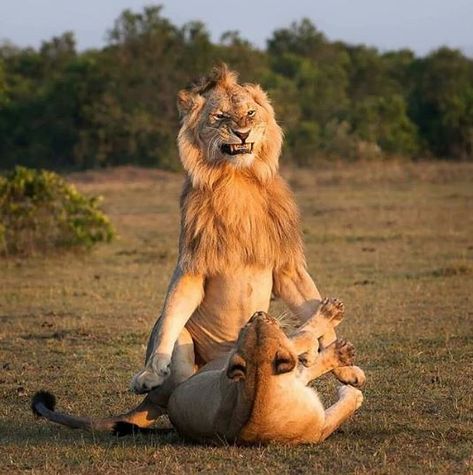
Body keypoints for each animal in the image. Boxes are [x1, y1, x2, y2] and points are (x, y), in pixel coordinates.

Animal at [33, 300, 364, 444]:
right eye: (264, 323)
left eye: (251, 324)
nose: (259, 313)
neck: (259, 382)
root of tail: (160, 402)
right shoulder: (318, 426)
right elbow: (339, 402)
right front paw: (347, 379)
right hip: (201, 355)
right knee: (302, 338)